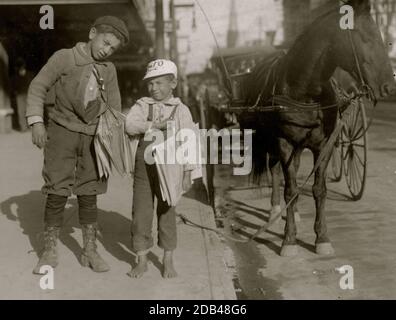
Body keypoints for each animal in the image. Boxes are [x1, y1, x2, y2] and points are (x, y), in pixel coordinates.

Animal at [238, 0, 396, 256]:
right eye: (364, 37)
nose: (389, 86)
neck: (305, 90)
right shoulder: (284, 143)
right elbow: (290, 189)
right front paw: (289, 240)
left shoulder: (323, 145)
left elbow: (318, 189)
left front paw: (322, 238)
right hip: (273, 142)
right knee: (276, 172)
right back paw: (275, 211)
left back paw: (293, 212)